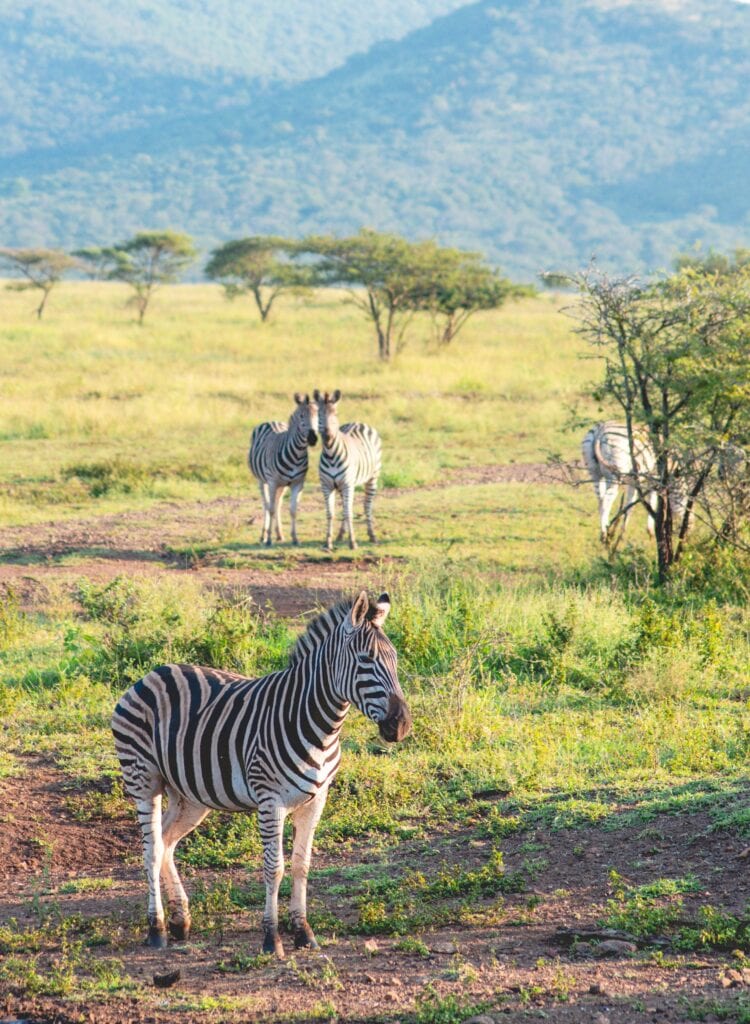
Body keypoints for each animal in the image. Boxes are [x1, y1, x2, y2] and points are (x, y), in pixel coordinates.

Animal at [111, 589, 409, 954]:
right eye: (366, 660)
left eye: (395, 659)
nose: (401, 725)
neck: (318, 725)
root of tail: (152, 674)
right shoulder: (271, 801)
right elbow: (274, 868)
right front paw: (271, 937)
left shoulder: (316, 800)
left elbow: (301, 865)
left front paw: (303, 932)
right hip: (143, 778)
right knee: (151, 849)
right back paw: (157, 929)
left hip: (189, 795)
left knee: (166, 841)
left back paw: (180, 921)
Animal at [247, 391, 315, 548]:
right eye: (301, 416)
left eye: (318, 415)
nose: (313, 438)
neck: (296, 455)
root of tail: (271, 421)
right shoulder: (272, 482)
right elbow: (271, 509)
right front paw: (268, 540)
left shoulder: (297, 483)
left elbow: (293, 510)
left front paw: (295, 538)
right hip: (262, 481)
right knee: (266, 505)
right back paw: (263, 535)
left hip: (282, 485)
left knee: (277, 504)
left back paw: (279, 534)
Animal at [311, 389, 381, 552]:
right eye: (319, 414)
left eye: (335, 414)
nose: (327, 436)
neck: (331, 455)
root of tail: (358, 423)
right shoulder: (326, 486)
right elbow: (330, 514)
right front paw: (328, 542)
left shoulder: (347, 484)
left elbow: (349, 513)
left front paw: (353, 542)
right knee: (345, 507)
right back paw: (340, 534)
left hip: (372, 477)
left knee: (367, 506)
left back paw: (372, 535)